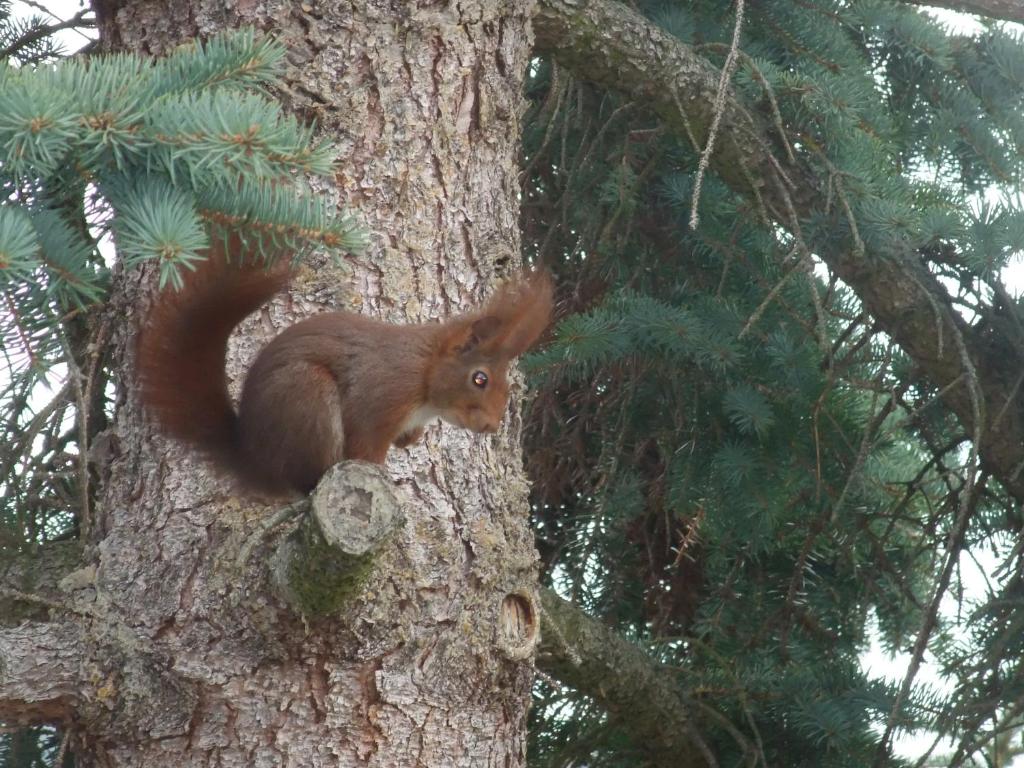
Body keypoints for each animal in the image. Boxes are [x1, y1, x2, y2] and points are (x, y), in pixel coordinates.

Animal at [136, 234, 553, 497]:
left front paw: (410, 440)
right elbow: (365, 443)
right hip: (307, 396)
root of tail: (254, 458)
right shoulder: (384, 394)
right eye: (479, 379)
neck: (424, 376)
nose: (492, 426)